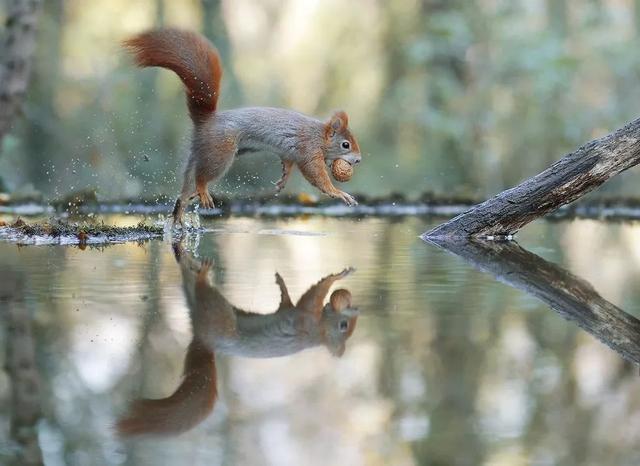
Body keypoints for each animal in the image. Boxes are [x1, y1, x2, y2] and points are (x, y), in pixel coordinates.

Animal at [123, 28, 362, 226]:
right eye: (345, 144)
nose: (359, 160)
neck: (319, 136)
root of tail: (207, 120)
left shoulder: (290, 152)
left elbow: (288, 163)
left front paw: (283, 179)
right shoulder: (308, 150)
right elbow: (316, 176)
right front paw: (339, 193)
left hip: (202, 152)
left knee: (186, 186)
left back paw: (181, 210)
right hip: (221, 151)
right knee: (202, 176)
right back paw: (201, 191)